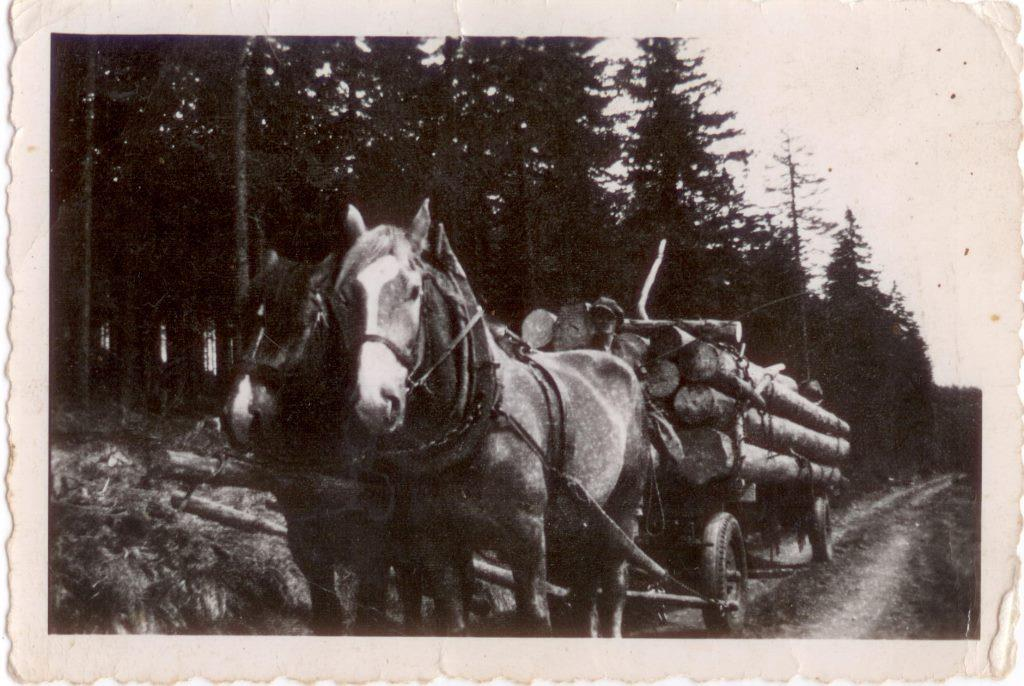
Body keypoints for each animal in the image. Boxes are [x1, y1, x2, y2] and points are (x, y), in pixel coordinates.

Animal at [339, 198, 651, 638]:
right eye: (348, 295)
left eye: (414, 291)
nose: (373, 401)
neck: (479, 419)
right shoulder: (437, 539)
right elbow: (453, 617)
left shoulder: (527, 536)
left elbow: (536, 618)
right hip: (584, 516)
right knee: (585, 584)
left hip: (623, 511)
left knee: (614, 586)